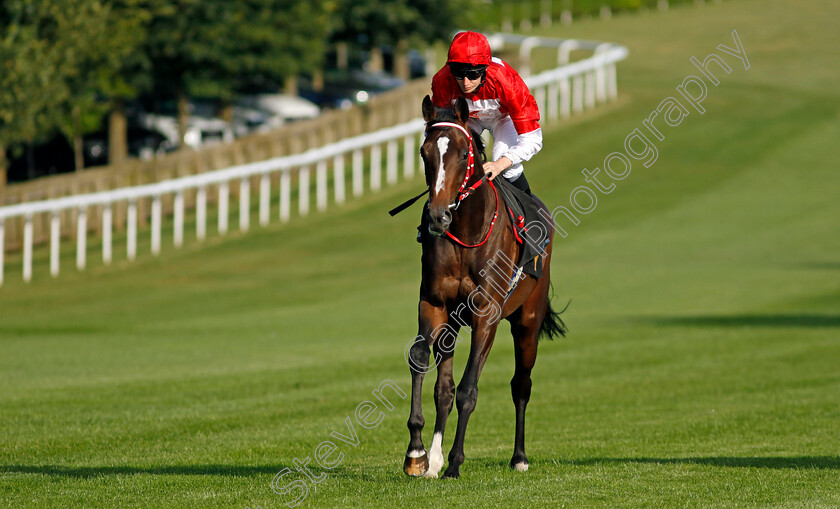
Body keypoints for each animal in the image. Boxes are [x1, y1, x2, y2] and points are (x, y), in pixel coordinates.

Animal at [406, 94, 568, 476]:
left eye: (463, 153)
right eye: (424, 152)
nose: (438, 216)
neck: (466, 233)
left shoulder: (487, 313)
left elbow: (469, 388)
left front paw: (455, 462)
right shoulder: (434, 303)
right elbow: (423, 361)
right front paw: (418, 454)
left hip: (528, 320)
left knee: (521, 384)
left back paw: (519, 457)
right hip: (453, 323)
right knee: (443, 388)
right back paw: (433, 460)